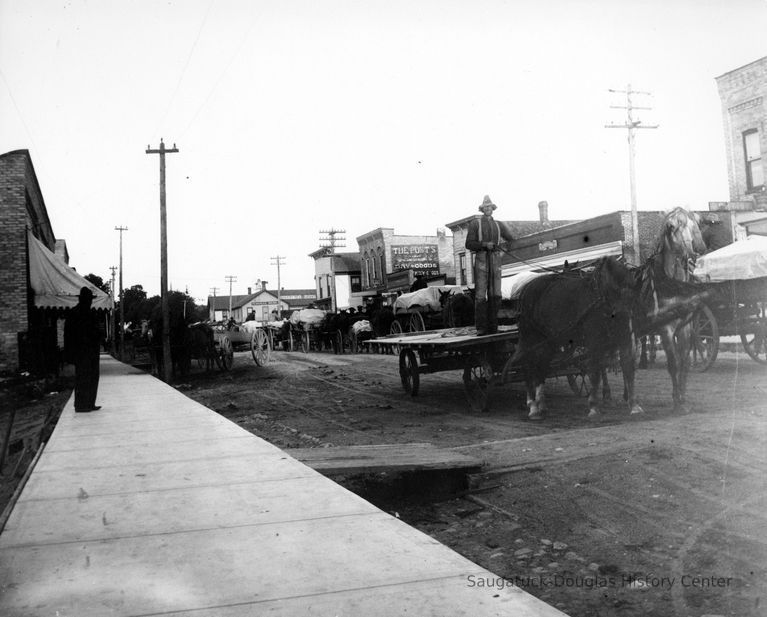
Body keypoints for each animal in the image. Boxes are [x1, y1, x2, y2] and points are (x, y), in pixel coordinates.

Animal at [510, 254, 640, 418]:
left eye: (632, 291)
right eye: (613, 288)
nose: (623, 314)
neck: (599, 299)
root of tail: (527, 288)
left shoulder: (625, 337)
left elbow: (628, 366)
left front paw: (634, 405)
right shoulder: (594, 341)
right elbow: (595, 370)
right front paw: (593, 406)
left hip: (549, 341)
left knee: (542, 365)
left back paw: (541, 403)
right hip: (530, 336)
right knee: (528, 364)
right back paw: (532, 406)